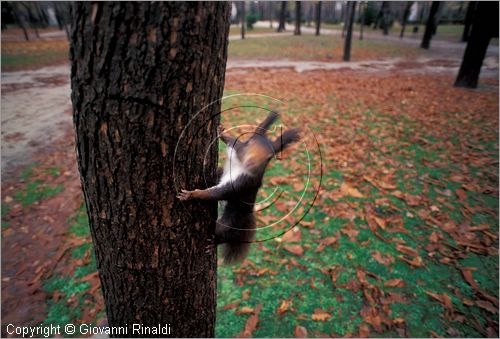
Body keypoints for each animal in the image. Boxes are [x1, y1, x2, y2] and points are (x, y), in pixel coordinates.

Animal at [177, 112, 300, 266]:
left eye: (268, 157)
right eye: (250, 143)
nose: (251, 162)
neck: (240, 165)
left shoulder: (240, 184)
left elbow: (214, 193)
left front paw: (191, 195)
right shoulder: (236, 149)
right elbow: (232, 141)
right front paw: (222, 132)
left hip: (230, 221)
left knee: (224, 233)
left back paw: (214, 243)